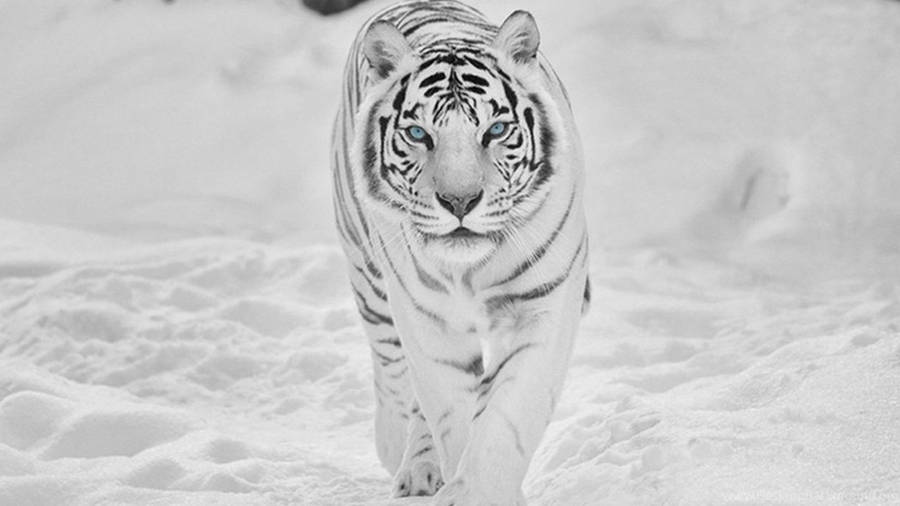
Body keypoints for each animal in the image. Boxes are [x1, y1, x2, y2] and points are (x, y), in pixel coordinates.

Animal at [330, 1, 588, 504]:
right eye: (417, 133)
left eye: (497, 130)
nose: (460, 201)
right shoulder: (428, 320)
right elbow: (450, 410)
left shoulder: (540, 307)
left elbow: (504, 419)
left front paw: (484, 488)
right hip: (369, 277)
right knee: (392, 370)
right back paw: (406, 458)